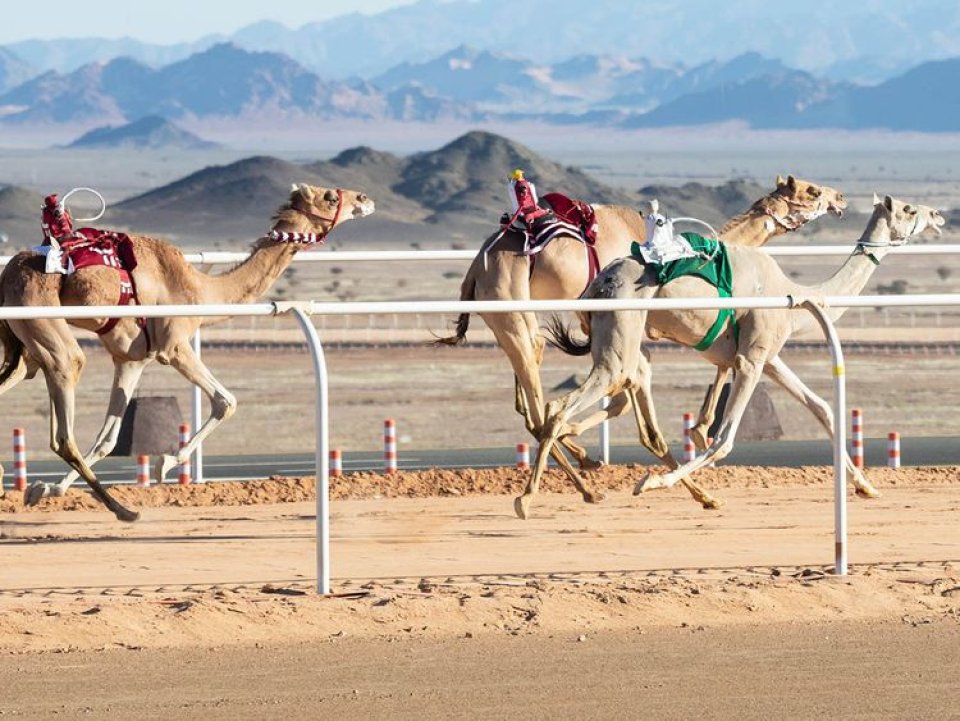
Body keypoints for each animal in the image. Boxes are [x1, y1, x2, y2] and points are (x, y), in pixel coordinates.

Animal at [0, 180, 376, 516]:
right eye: (330, 197)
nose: (365, 198)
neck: (201, 289)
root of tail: (8, 274)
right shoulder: (175, 345)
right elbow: (226, 401)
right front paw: (165, 464)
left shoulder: (132, 357)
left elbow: (108, 438)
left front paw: (45, 488)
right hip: (42, 319)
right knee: (67, 386)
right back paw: (123, 510)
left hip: (26, 344)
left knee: (25, 373)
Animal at [436, 174, 848, 466]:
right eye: (812, 191)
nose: (840, 198)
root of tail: (475, 267)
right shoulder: (630, 320)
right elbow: (624, 391)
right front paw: (698, 431)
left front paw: (698, 429)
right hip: (512, 302)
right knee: (538, 398)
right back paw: (579, 467)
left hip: (507, 319)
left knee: (530, 390)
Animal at [516, 191, 944, 516]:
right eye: (909, 209)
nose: (937, 214)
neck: (793, 293)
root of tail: (599, 283)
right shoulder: (749, 359)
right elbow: (723, 439)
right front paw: (651, 483)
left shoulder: (769, 357)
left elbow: (822, 408)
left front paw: (867, 486)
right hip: (620, 336)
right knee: (565, 407)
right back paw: (529, 498)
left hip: (619, 341)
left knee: (573, 409)